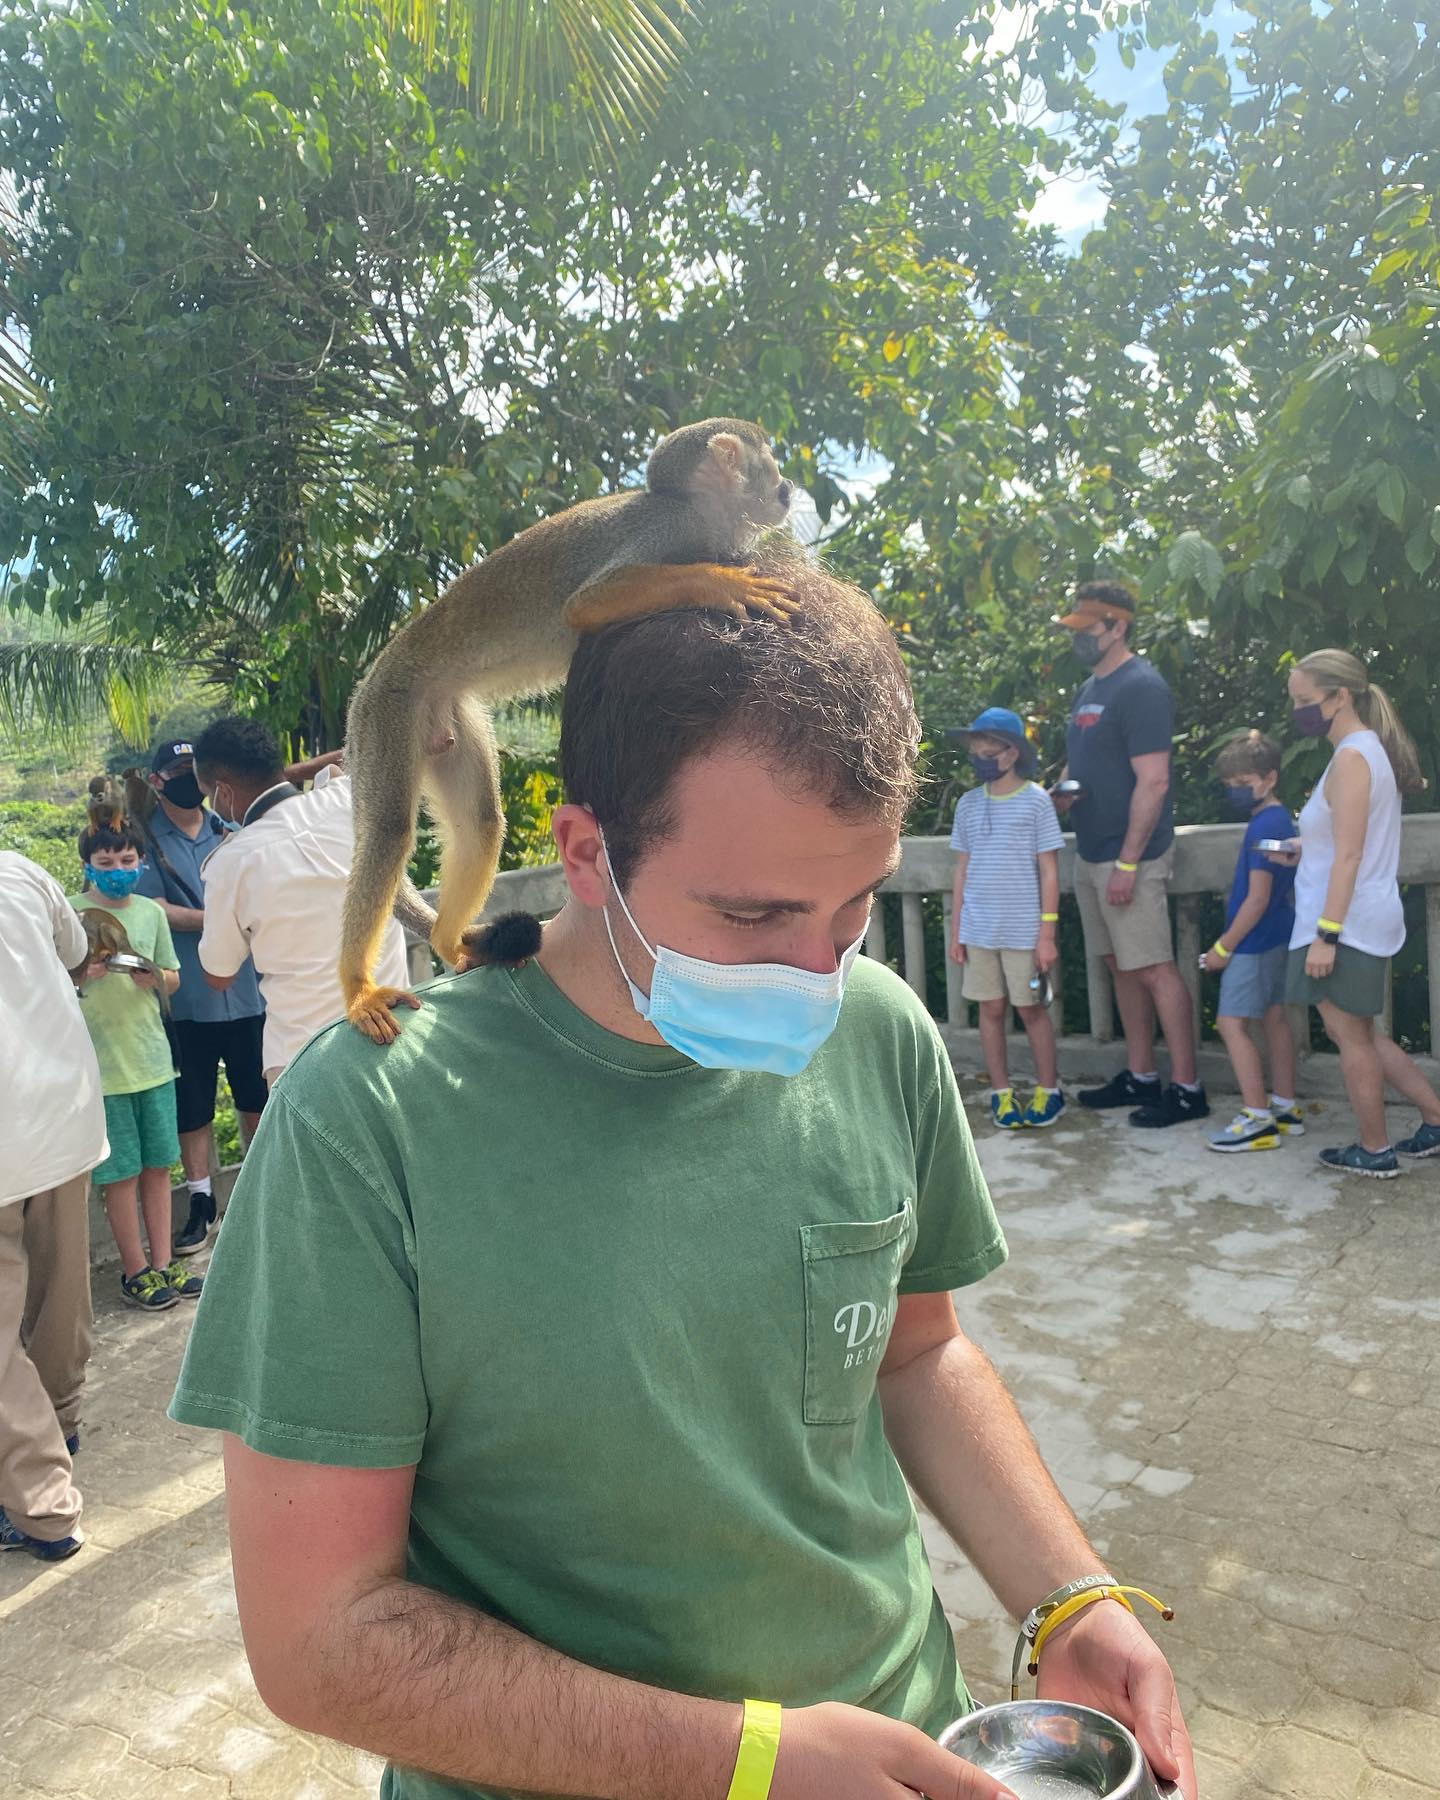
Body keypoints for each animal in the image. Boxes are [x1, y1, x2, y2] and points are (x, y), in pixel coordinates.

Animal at [340, 417, 801, 1044]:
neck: (694, 511)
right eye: (771, 468)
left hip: (447, 716)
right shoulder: (666, 527)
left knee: (481, 823)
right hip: (390, 708)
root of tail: (374, 675)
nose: (787, 492)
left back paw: (452, 941)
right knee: (388, 831)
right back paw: (358, 990)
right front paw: (717, 583)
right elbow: (586, 604)